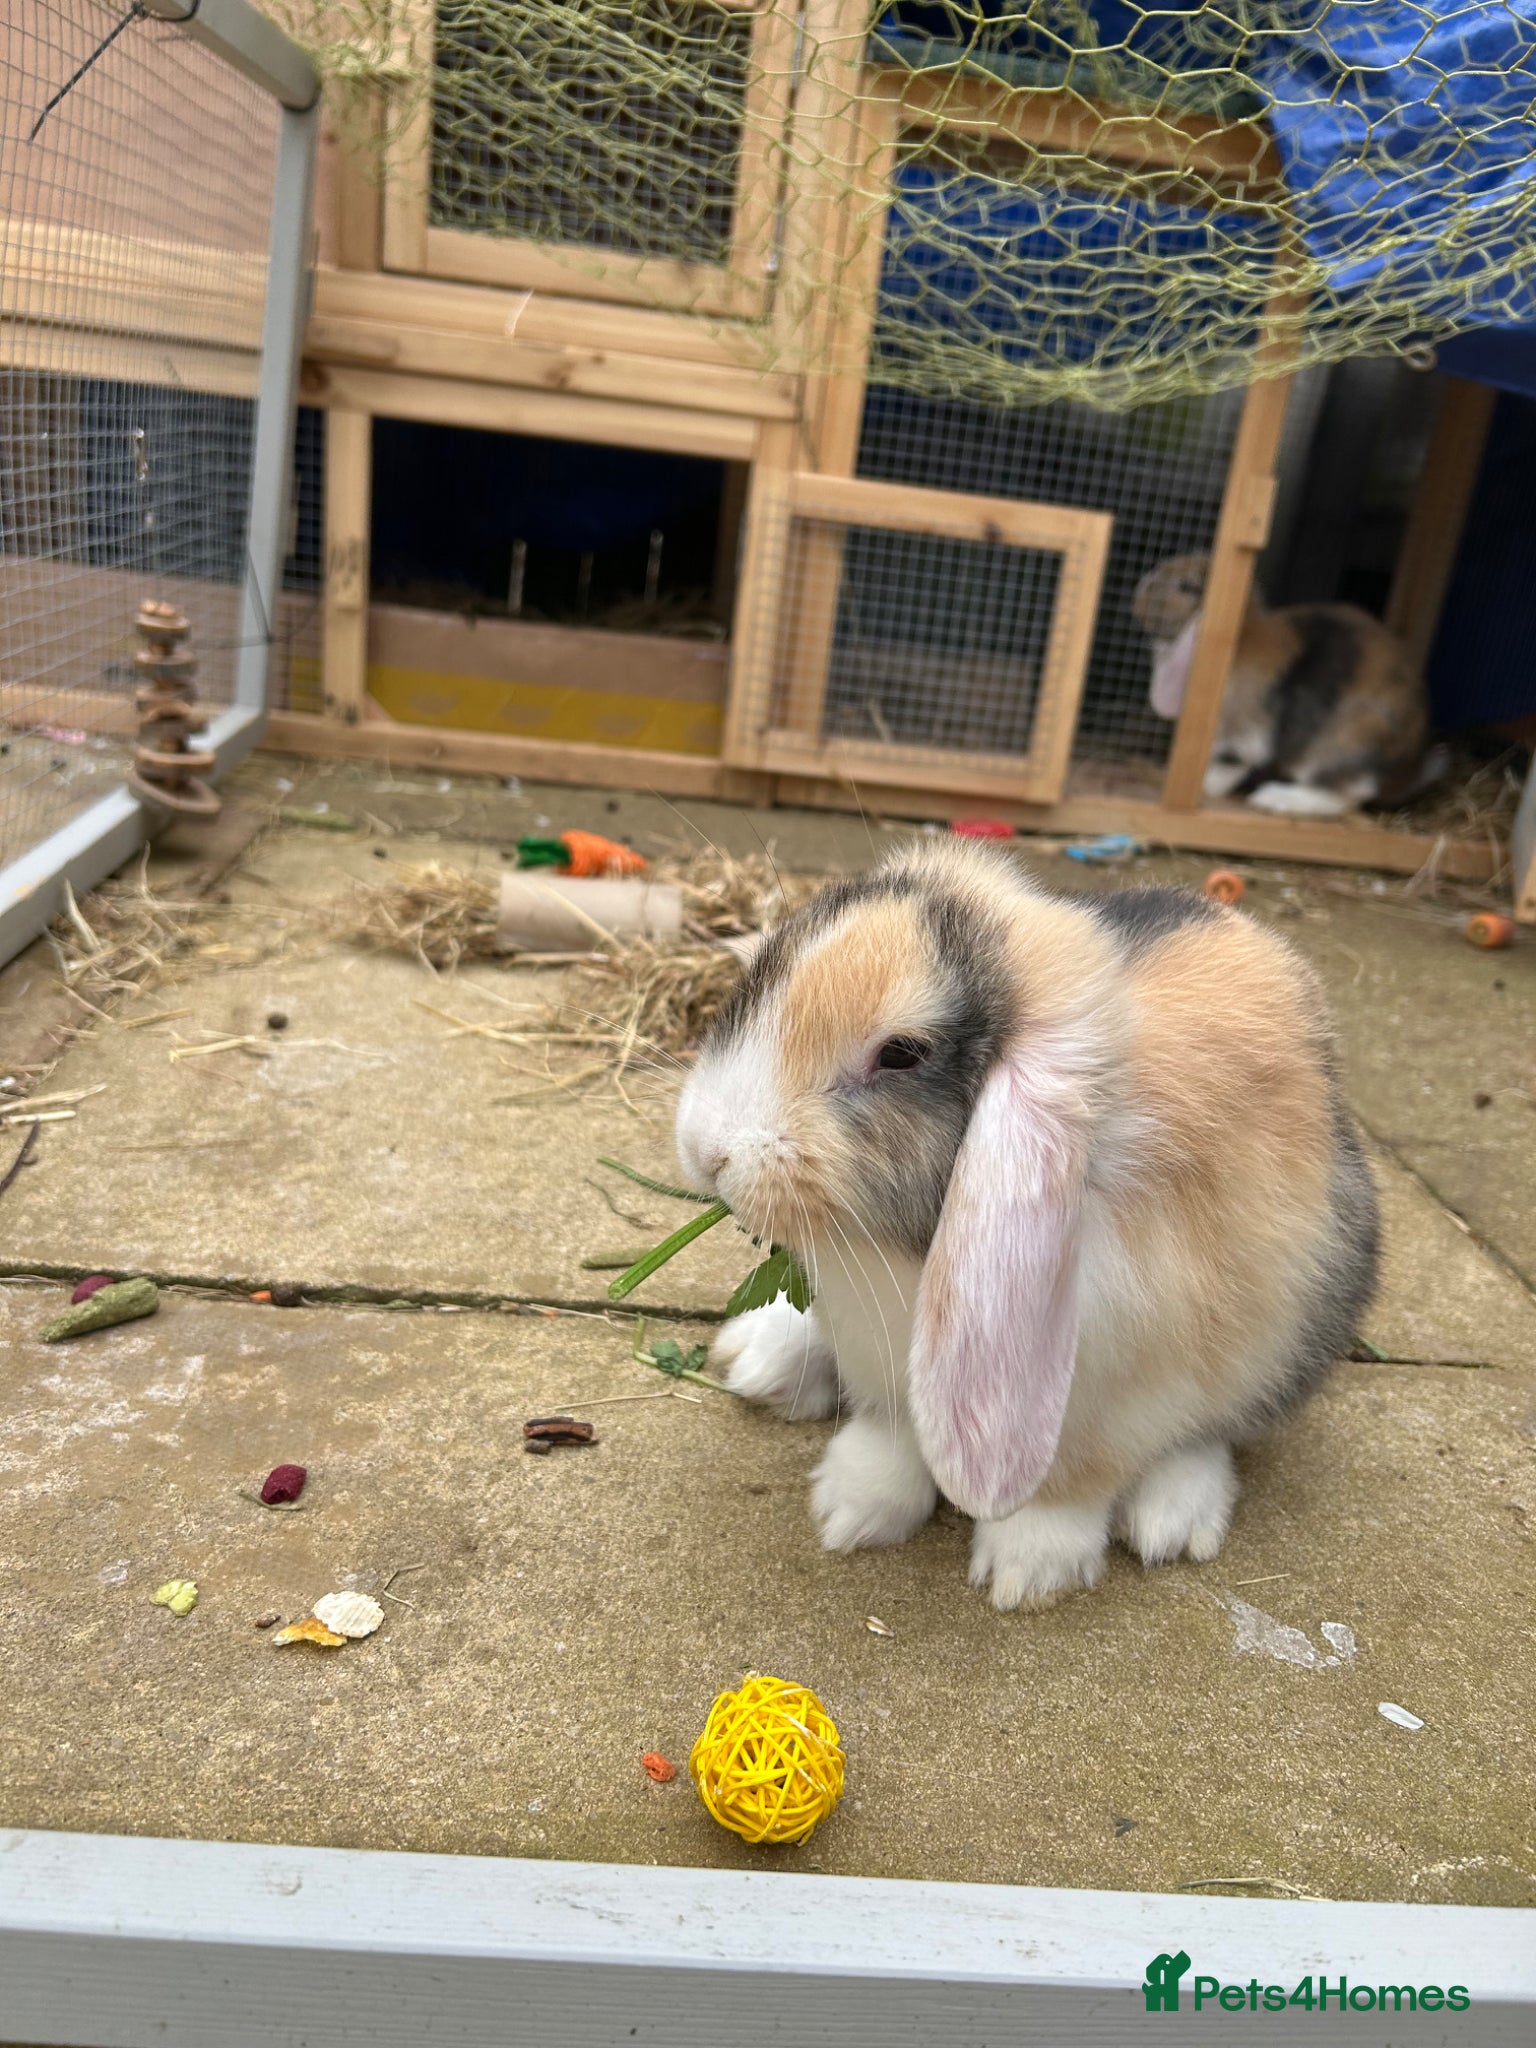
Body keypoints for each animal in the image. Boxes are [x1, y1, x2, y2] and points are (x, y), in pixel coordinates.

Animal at [675, 837, 1378, 1610]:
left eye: (901, 1052)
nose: (707, 1150)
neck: (897, 1256)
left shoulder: (1118, 1394)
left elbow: (1072, 1482)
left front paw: (1027, 1572)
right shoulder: (888, 1368)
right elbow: (891, 1432)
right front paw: (851, 1509)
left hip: (1302, 1320)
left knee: (1221, 1425)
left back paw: (1175, 1520)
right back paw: (761, 1358)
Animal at [1134, 551, 1440, 817]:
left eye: (1186, 586)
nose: (1139, 597)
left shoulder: (1240, 738)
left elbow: (1226, 765)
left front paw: (1204, 787)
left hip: (1335, 749)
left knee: (1349, 795)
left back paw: (1274, 798)